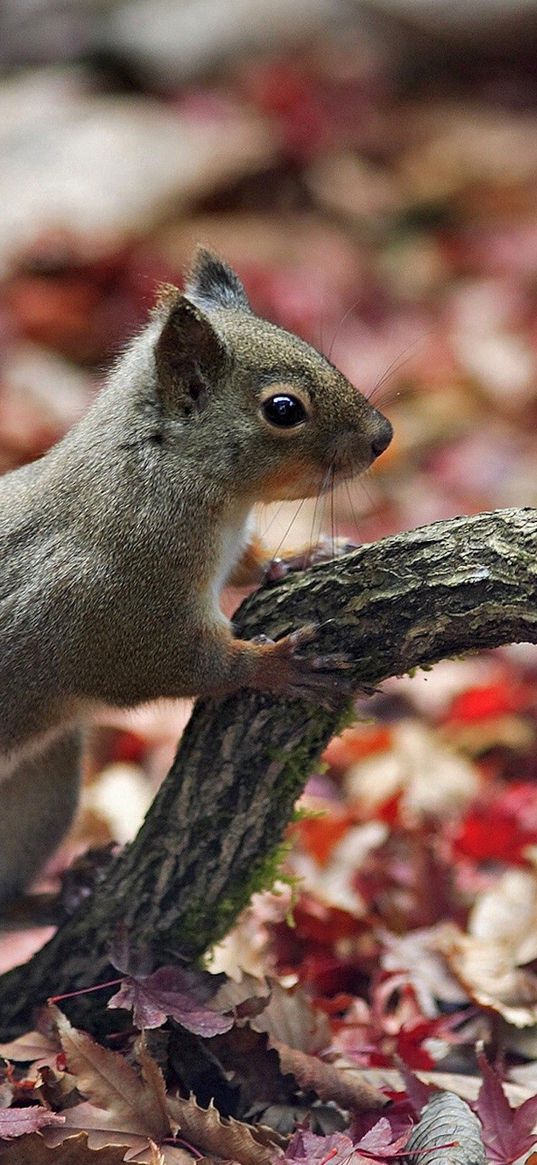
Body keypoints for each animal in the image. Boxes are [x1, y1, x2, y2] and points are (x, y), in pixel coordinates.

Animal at [0, 248, 389, 908]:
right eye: (284, 409)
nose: (383, 436)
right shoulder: (118, 611)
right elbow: (174, 666)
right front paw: (276, 665)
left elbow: (251, 563)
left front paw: (303, 555)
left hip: (42, 782)